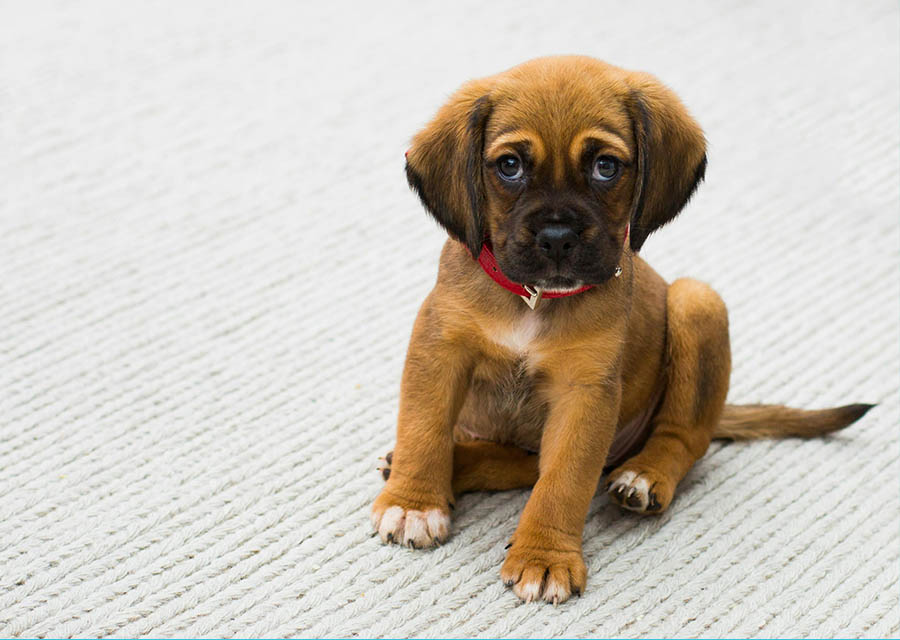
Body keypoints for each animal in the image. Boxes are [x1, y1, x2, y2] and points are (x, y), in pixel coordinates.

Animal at [370, 56, 876, 604]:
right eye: (509, 166)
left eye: (605, 167)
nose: (557, 238)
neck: (534, 300)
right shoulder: (439, 350)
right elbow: (423, 429)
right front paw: (414, 502)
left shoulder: (585, 394)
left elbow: (564, 481)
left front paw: (544, 556)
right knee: (519, 463)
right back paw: (449, 465)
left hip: (697, 302)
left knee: (682, 438)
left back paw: (645, 476)